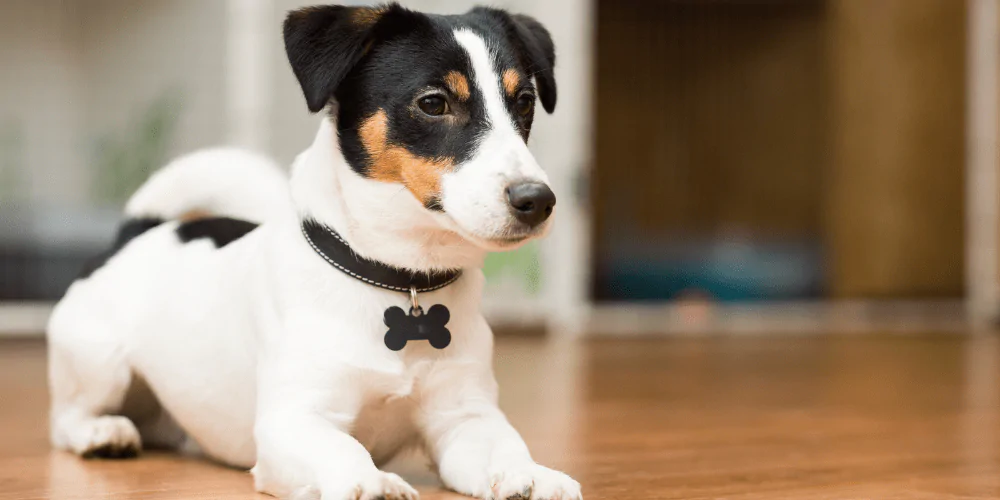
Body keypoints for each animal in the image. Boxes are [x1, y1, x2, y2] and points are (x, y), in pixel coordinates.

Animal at [47, 3, 584, 500]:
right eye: (434, 103)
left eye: (524, 101)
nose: (537, 200)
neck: (401, 279)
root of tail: (139, 231)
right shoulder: (294, 421)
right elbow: (342, 447)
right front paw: (372, 480)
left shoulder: (464, 417)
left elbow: (505, 446)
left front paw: (531, 474)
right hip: (100, 363)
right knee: (66, 419)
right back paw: (102, 432)